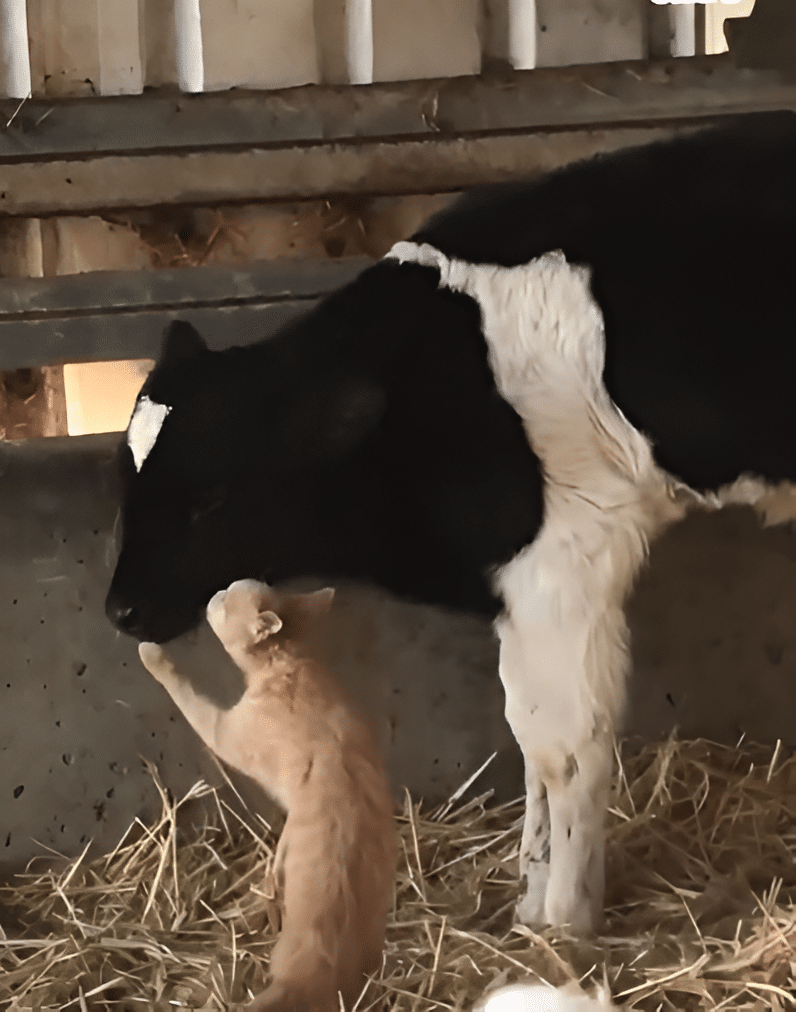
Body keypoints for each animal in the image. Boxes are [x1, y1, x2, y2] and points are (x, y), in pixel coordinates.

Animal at [108, 112, 796, 931]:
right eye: (125, 481)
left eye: (208, 499)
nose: (121, 607)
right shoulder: (513, 584)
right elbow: (528, 733)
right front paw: (530, 898)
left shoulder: (564, 559)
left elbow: (566, 744)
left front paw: (565, 918)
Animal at [140, 582, 398, 1011]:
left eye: (226, 600)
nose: (214, 592)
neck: (284, 663)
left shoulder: (224, 730)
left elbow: (187, 694)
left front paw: (153, 655)